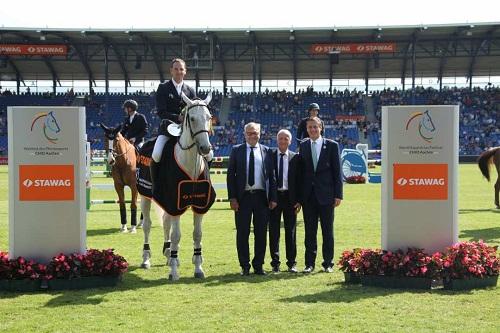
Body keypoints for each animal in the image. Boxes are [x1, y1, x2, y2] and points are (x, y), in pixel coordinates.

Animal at [140, 91, 214, 280]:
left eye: (209, 117)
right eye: (192, 118)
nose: (205, 148)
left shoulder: (200, 204)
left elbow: (197, 234)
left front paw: (198, 267)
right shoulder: (174, 203)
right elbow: (176, 235)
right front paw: (174, 271)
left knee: (166, 223)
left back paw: (167, 253)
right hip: (145, 195)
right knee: (147, 225)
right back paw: (146, 259)